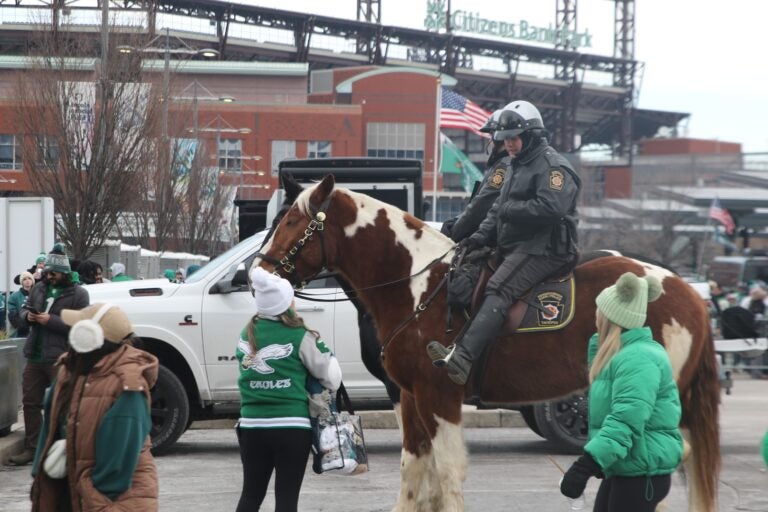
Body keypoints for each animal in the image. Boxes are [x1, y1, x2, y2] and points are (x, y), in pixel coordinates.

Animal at [256, 176, 720, 512]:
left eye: (293, 223)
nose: (256, 273)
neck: (419, 286)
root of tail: (688, 292)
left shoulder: (439, 396)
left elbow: (447, 472)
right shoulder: (409, 396)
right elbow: (414, 471)